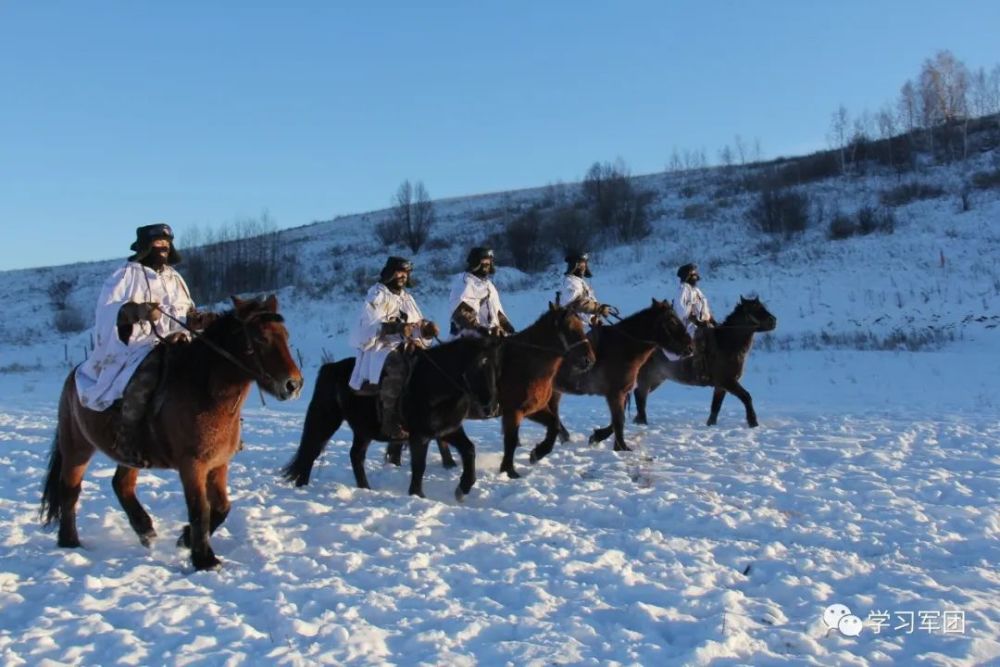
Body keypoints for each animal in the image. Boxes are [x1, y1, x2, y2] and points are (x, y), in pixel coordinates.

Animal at [42, 296, 300, 568]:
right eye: (260, 338)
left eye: (285, 335)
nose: (293, 384)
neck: (204, 392)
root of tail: (74, 376)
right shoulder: (192, 466)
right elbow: (200, 510)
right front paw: (204, 559)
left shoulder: (218, 464)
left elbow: (222, 508)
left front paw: (185, 539)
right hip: (77, 448)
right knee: (69, 491)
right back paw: (70, 541)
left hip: (129, 457)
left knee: (121, 484)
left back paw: (145, 530)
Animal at [280, 340, 500, 500]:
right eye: (478, 364)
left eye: (495, 366)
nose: (491, 407)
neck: (433, 384)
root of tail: (330, 367)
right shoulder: (419, 436)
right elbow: (419, 465)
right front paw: (417, 495)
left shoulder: (448, 430)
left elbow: (469, 450)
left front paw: (463, 488)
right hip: (327, 420)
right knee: (312, 450)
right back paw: (303, 486)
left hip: (362, 431)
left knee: (355, 455)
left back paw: (365, 488)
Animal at [540, 300, 696, 456]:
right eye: (672, 321)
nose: (690, 348)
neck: (624, 347)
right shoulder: (616, 393)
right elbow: (619, 420)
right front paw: (622, 447)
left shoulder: (622, 393)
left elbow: (616, 421)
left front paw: (599, 437)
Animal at [632, 296, 780, 428]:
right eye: (756, 309)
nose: (773, 321)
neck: (726, 345)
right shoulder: (728, 382)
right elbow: (746, 397)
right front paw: (753, 422)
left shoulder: (721, 386)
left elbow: (716, 406)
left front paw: (711, 424)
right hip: (647, 377)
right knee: (640, 395)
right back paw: (642, 421)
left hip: (657, 379)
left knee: (640, 395)